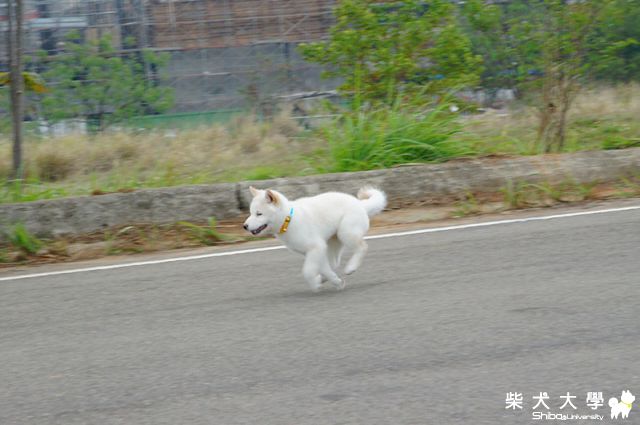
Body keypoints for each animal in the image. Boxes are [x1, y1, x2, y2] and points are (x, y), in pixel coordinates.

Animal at [243, 186, 387, 292]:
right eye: (251, 213)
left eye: (259, 214)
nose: (244, 226)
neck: (288, 220)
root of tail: (360, 204)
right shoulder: (316, 251)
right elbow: (323, 269)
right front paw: (336, 282)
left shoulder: (316, 247)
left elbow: (308, 271)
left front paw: (315, 283)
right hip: (332, 242)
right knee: (333, 263)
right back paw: (323, 278)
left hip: (346, 233)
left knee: (362, 247)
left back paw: (351, 267)